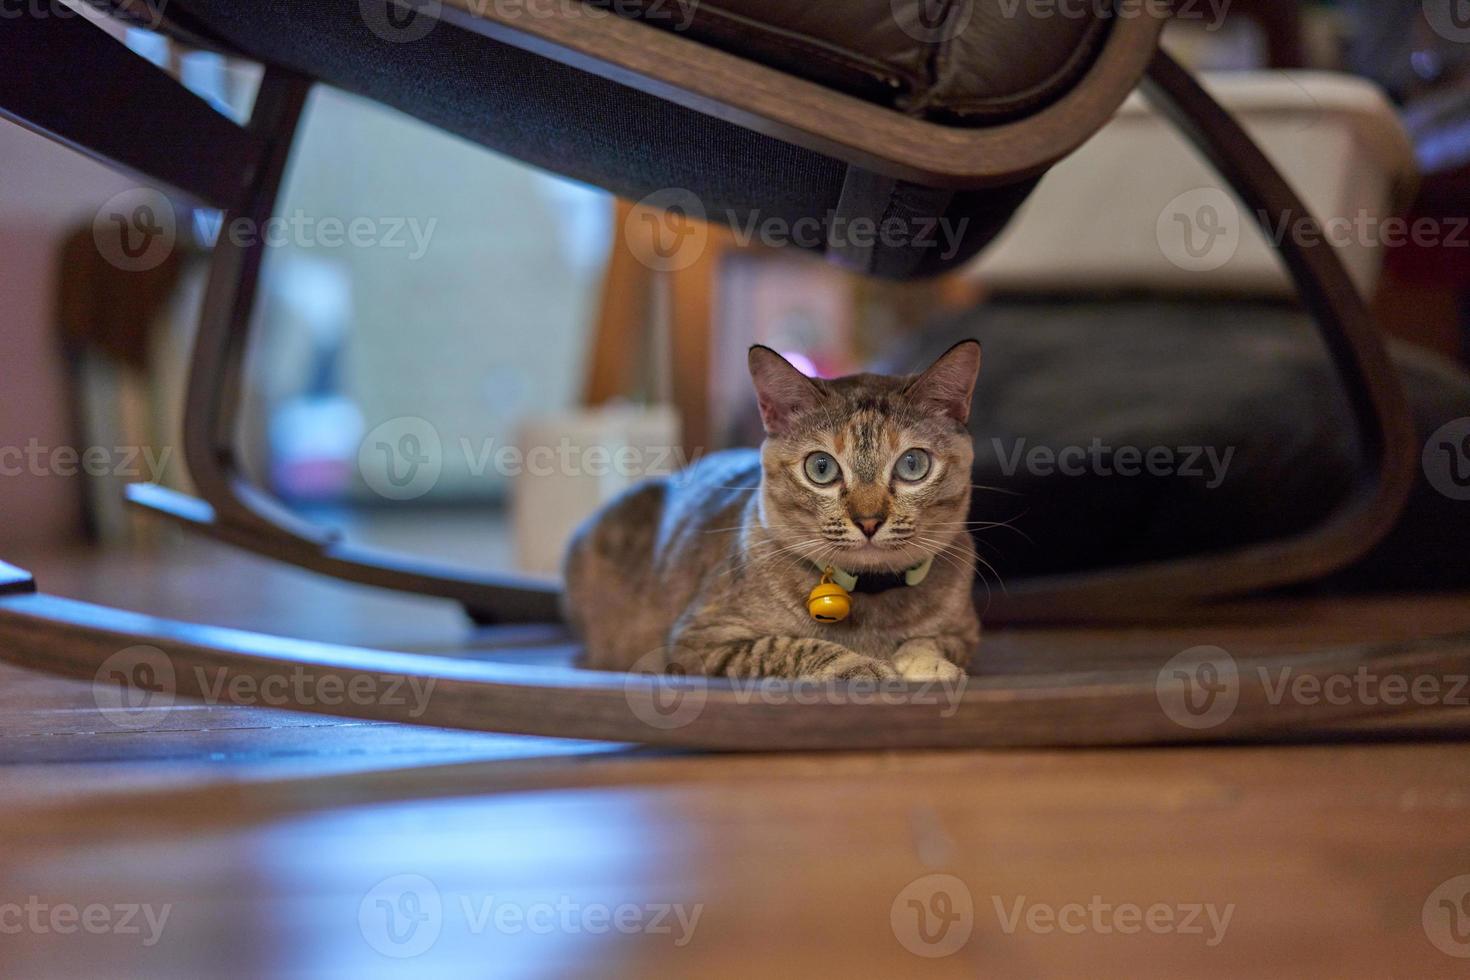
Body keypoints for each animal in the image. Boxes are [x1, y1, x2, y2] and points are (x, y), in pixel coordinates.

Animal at [567, 339, 981, 681]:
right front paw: (859, 665)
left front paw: (926, 662)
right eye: (821, 468)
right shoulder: (698, 640)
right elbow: (786, 645)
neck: (870, 598)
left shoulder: (966, 632)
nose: (868, 520)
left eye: (913, 464)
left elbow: (932, 640)